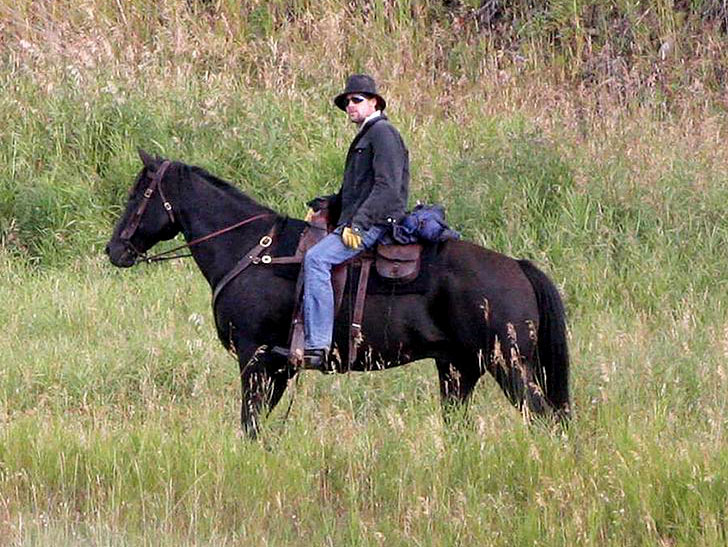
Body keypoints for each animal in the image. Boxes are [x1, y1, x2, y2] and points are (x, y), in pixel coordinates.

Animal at [105, 150, 572, 436]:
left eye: (138, 194)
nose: (114, 249)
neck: (252, 250)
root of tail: (518, 267)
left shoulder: (255, 358)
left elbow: (250, 424)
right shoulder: (277, 367)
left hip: (508, 365)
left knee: (545, 419)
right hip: (459, 369)